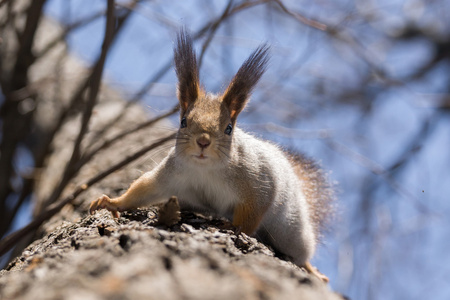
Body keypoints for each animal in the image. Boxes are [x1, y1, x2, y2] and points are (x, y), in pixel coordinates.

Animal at [89, 29, 334, 284]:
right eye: (183, 121)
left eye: (229, 128)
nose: (203, 141)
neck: (205, 169)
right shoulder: (169, 175)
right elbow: (143, 189)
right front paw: (110, 201)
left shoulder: (259, 184)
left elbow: (252, 215)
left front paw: (233, 227)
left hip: (291, 230)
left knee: (299, 251)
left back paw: (310, 268)